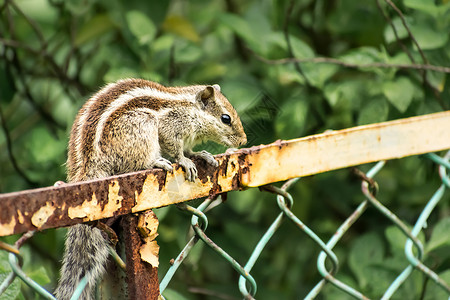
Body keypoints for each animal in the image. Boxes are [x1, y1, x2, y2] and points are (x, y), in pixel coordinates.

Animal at [54, 78, 248, 298]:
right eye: (226, 118)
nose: (244, 140)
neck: (189, 108)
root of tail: (89, 165)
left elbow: (189, 150)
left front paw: (202, 155)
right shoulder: (170, 127)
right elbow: (176, 149)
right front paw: (184, 161)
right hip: (142, 128)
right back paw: (157, 163)